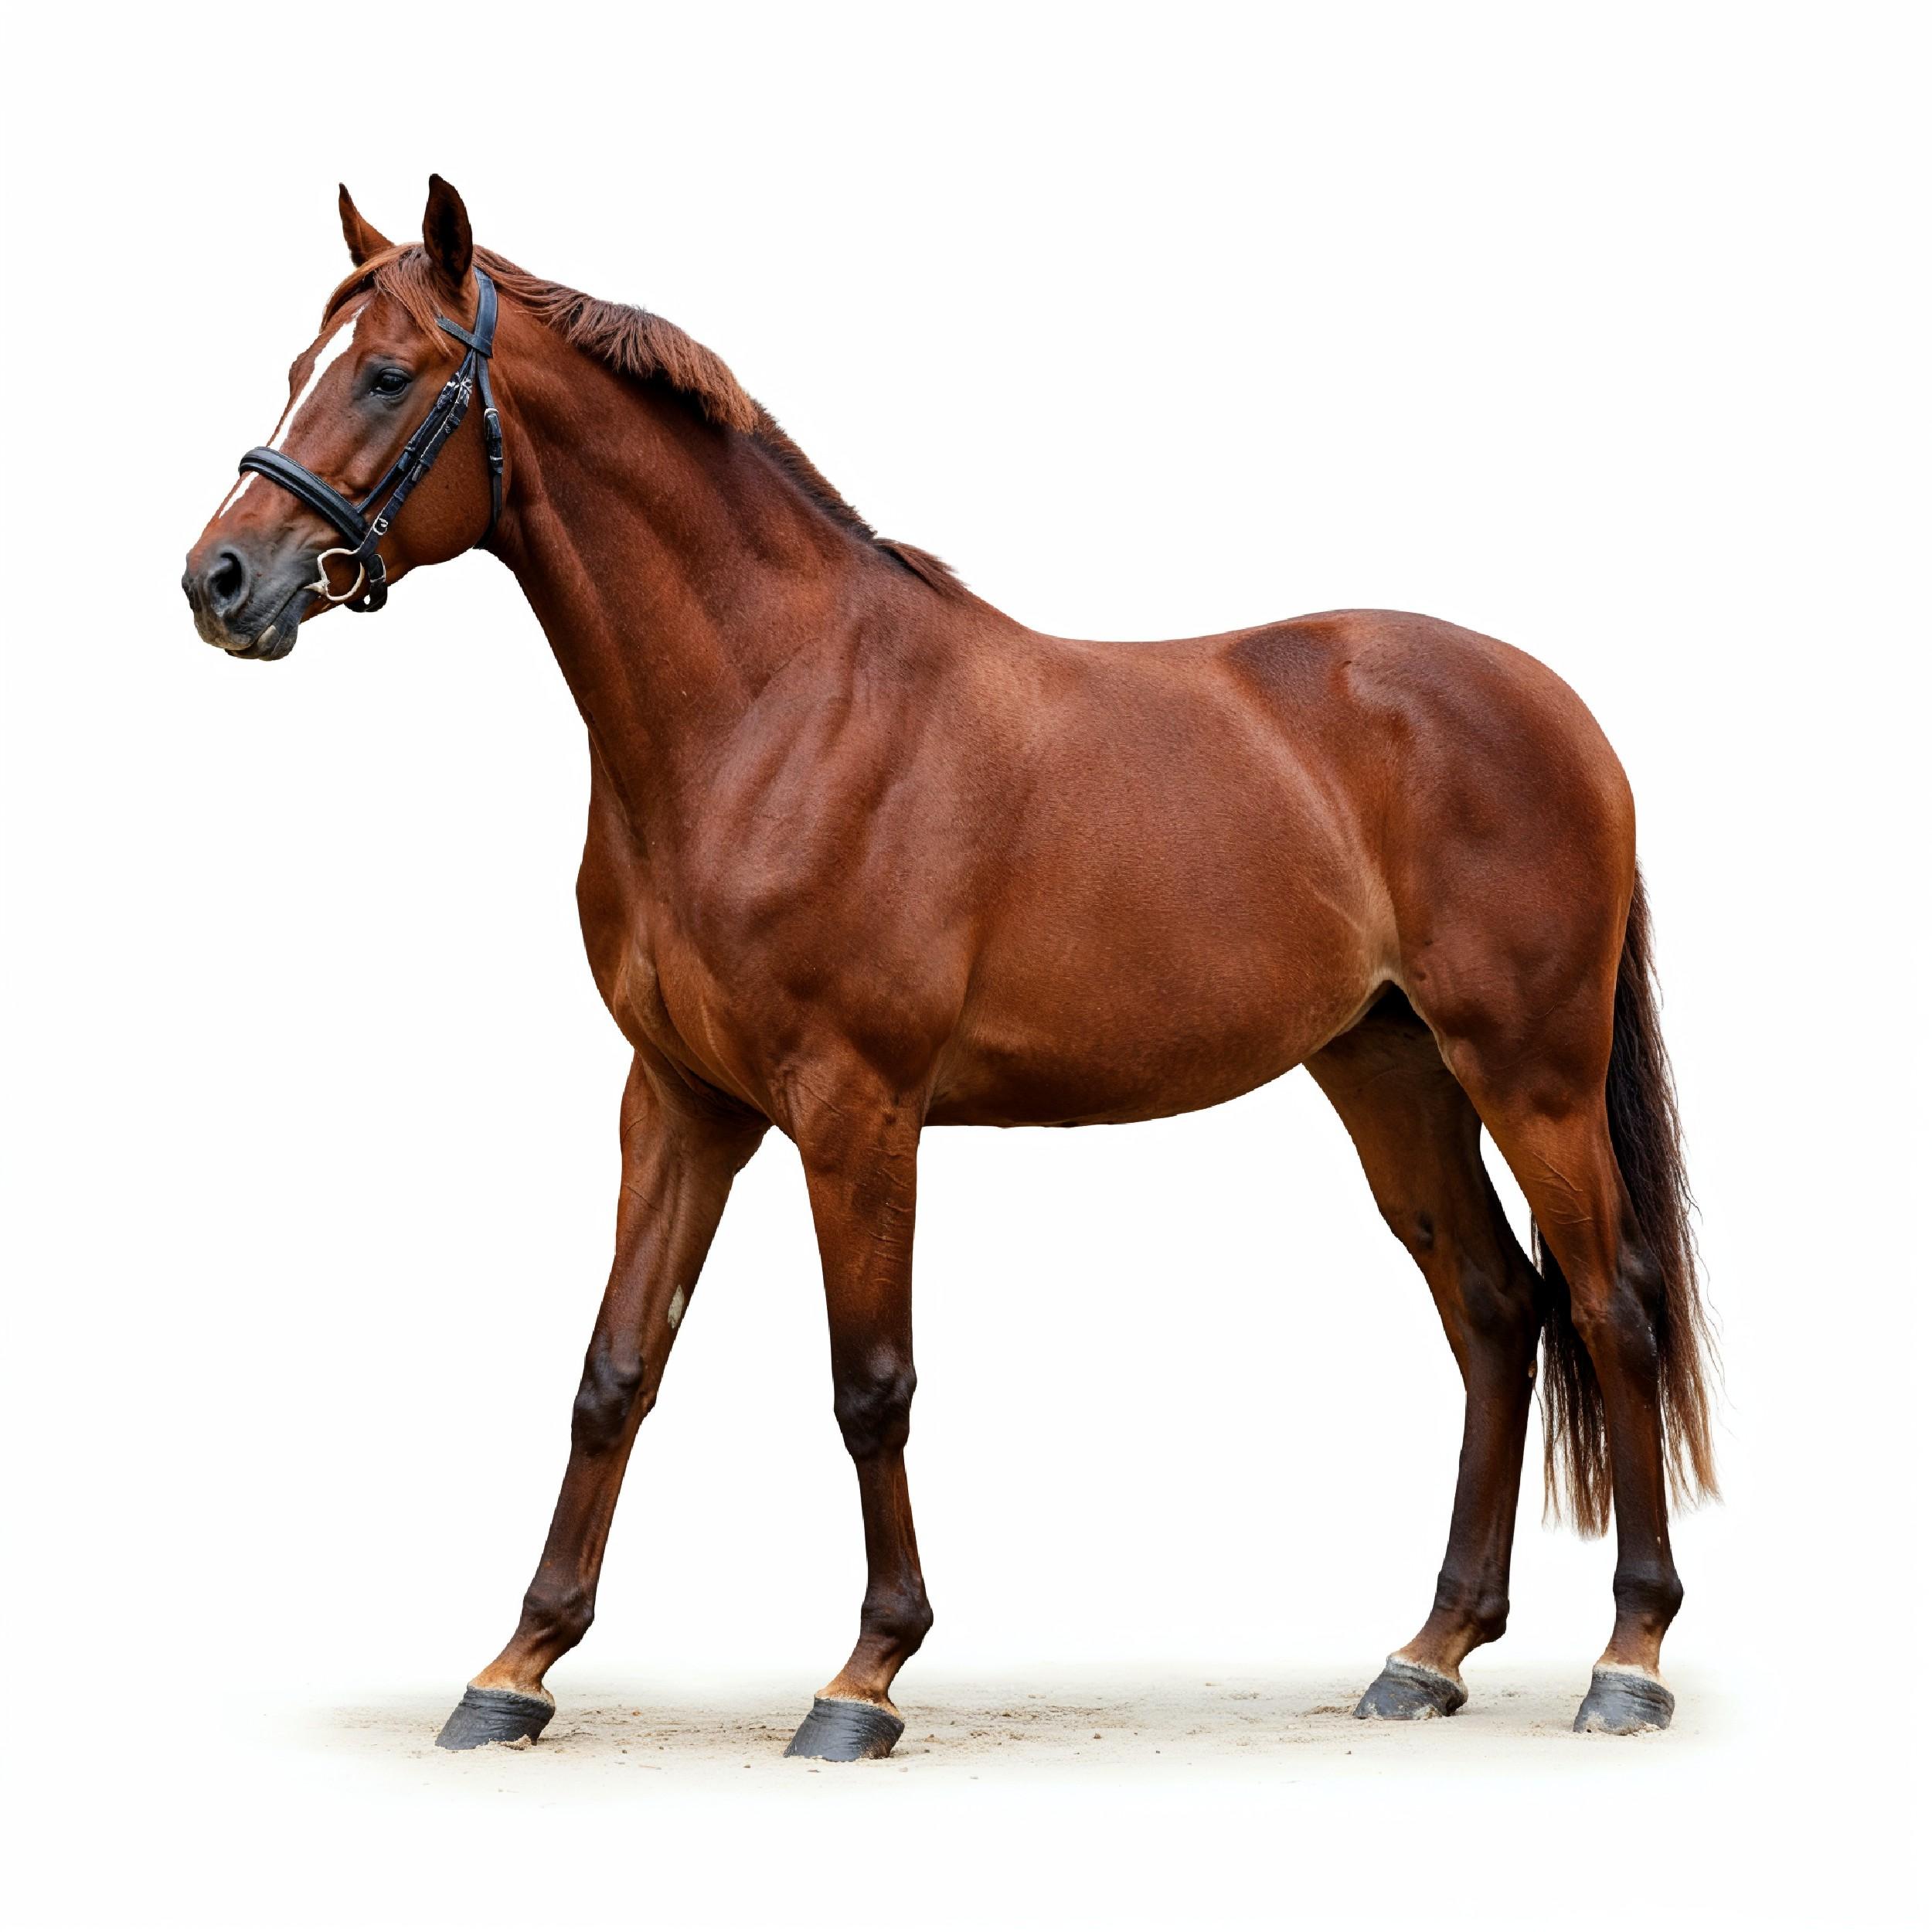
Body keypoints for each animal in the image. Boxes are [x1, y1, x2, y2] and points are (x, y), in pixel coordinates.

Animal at [182, 177, 1716, 1761]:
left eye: (386, 374)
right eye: (295, 369)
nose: (220, 580)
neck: (773, 705)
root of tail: (1558, 712)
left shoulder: (856, 1111)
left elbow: (871, 1386)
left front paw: (864, 1678)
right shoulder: (677, 1101)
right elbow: (615, 1374)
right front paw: (515, 1669)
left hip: (1530, 1075)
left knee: (1613, 1308)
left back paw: (1629, 1659)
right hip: (1389, 1068)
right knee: (1495, 1311)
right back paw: (1431, 1652)